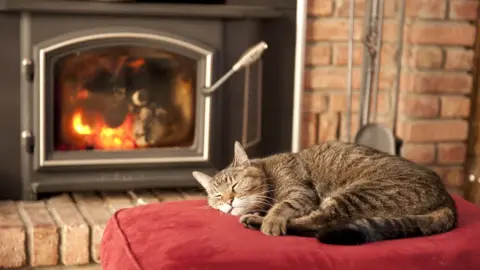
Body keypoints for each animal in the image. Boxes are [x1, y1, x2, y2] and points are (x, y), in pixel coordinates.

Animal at [191, 141, 458, 245]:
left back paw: (258, 222)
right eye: (217, 196)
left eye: (235, 185)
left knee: (318, 223)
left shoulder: (301, 194)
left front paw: (270, 220)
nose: (229, 201)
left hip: (356, 194)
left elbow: (282, 207)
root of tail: (447, 198)